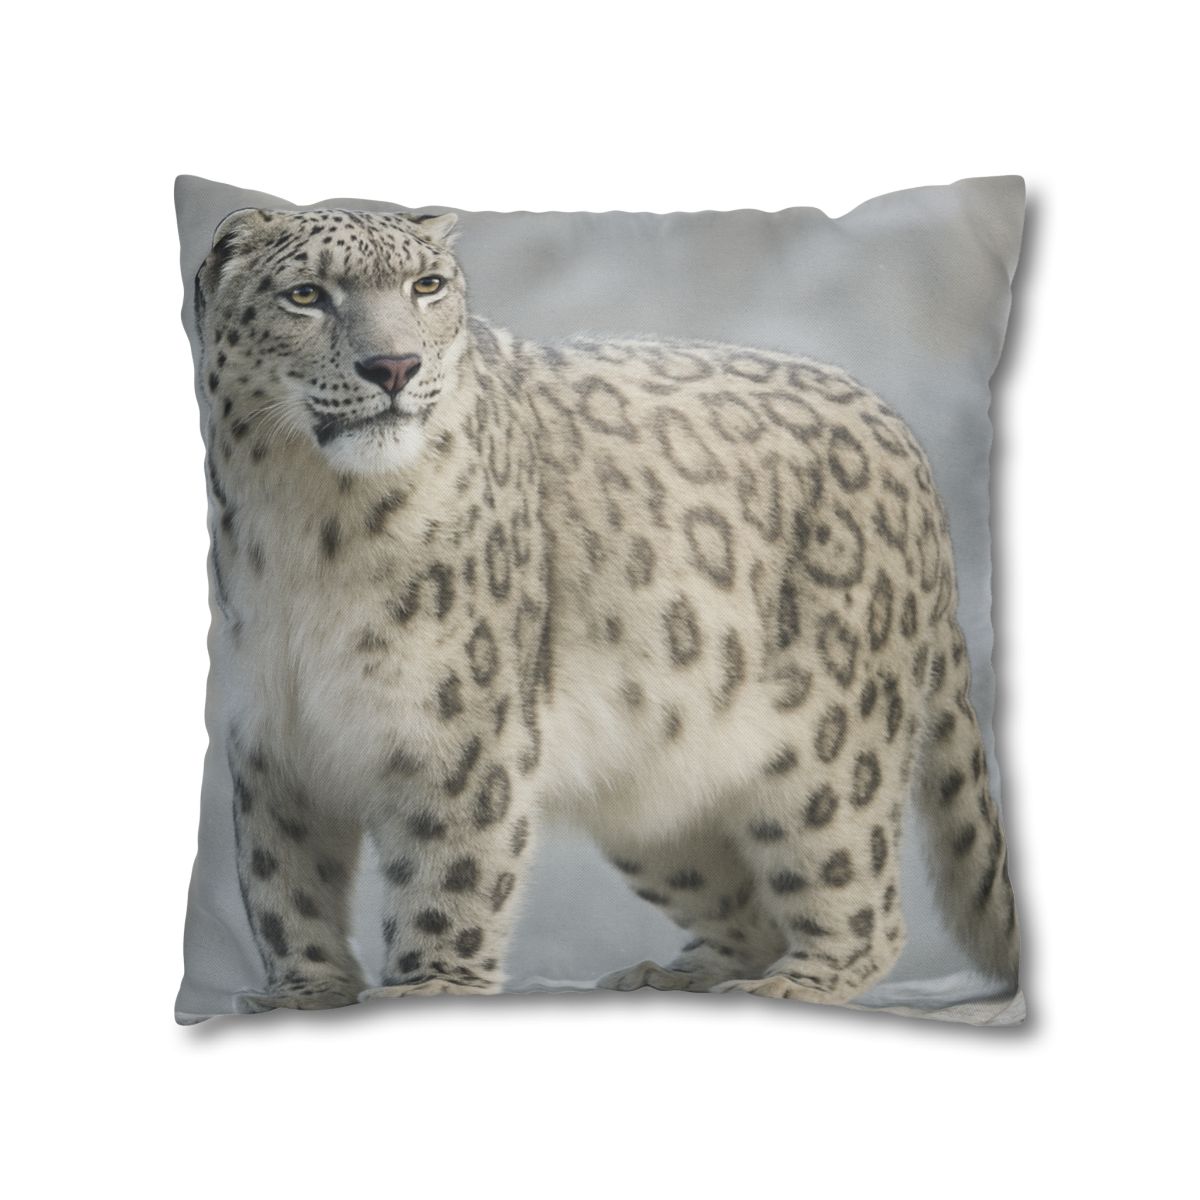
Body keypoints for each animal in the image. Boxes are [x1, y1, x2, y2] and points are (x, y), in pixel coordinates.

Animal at [191, 206, 1018, 1012]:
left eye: (427, 285)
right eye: (306, 295)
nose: (394, 366)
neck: (306, 526)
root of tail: (902, 437)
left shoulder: (458, 728)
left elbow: (448, 869)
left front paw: (430, 986)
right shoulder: (271, 740)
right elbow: (282, 881)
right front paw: (305, 993)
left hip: (832, 750)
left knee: (856, 891)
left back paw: (796, 982)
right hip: (656, 802)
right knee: (742, 905)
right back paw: (672, 974)